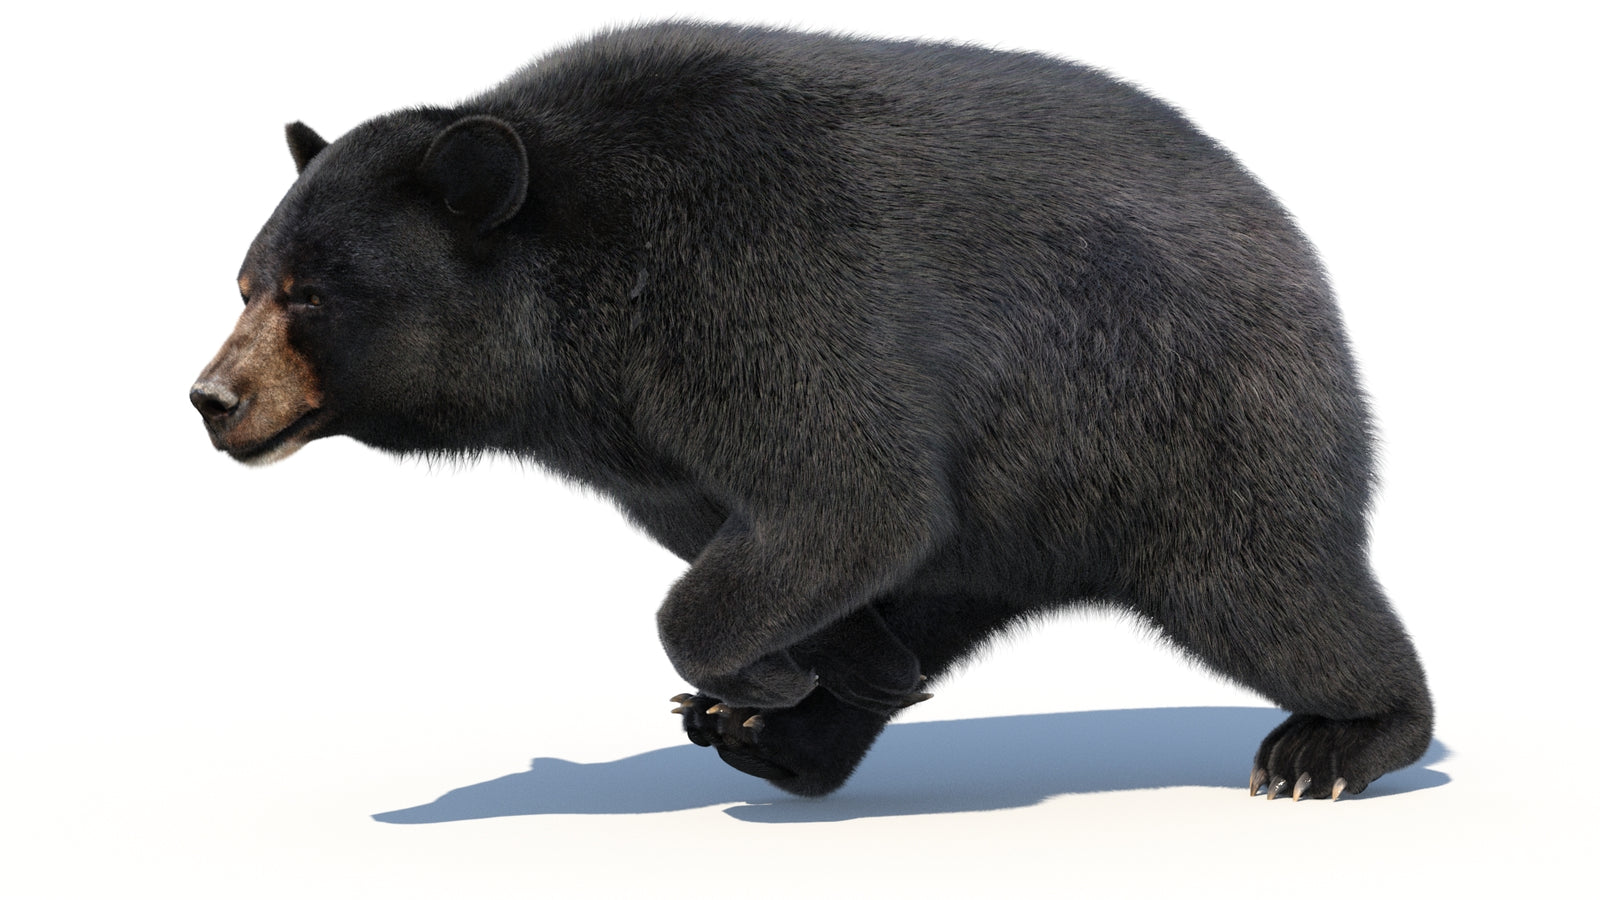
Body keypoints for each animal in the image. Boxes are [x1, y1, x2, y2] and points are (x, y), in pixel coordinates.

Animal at [191, 21, 1432, 802]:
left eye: (310, 293)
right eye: (244, 282)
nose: (213, 399)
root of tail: (1298, 255)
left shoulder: (752, 293)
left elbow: (854, 497)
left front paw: (763, 675)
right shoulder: (639, 440)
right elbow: (780, 540)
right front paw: (813, 675)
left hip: (1183, 421)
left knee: (1273, 592)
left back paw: (1335, 743)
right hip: (1038, 494)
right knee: (950, 588)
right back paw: (802, 733)